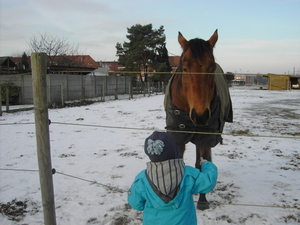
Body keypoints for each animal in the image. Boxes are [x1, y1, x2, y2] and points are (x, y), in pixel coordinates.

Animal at [164, 29, 232, 209]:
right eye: (186, 67)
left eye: (212, 67)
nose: (200, 115)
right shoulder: (178, 136)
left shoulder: (205, 136)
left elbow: (202, 164)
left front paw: (202, 200)